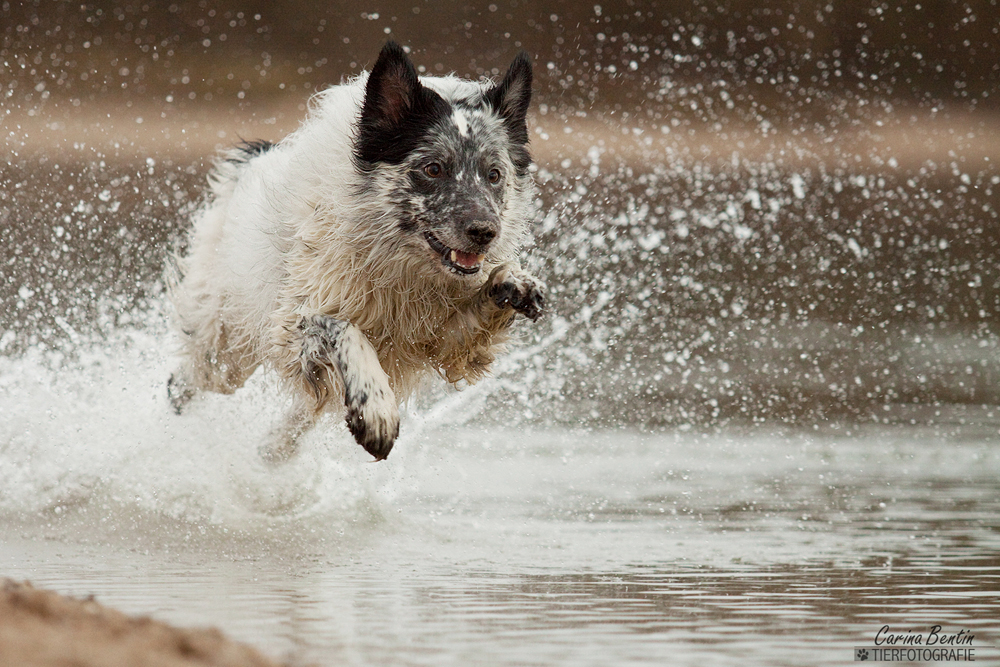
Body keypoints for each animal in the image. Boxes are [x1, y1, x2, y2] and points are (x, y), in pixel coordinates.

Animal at [170, 41, 548, 460]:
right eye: (433, 168)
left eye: (494, 174)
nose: (485, 232)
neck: (398, 261)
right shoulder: (293, 326)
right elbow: (346, 329)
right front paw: (378, 409)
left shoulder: (440, 342)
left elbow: (478, 310)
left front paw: (512, 280)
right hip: (223, 350)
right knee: (185, 383)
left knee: (298, 419)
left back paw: (273, 450)